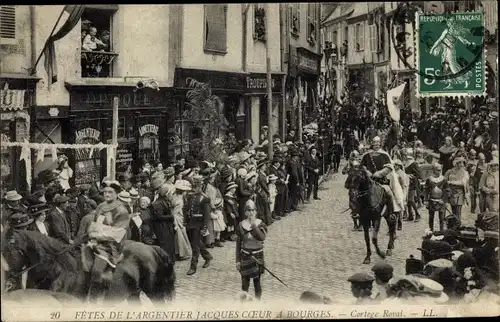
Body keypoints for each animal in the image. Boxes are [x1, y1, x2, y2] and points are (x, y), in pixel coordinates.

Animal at [2, 229, 176, 304]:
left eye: (10, 252)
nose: (8, 283)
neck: (60, 272)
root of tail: (152, 248)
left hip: (155, 293)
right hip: (133, 294)